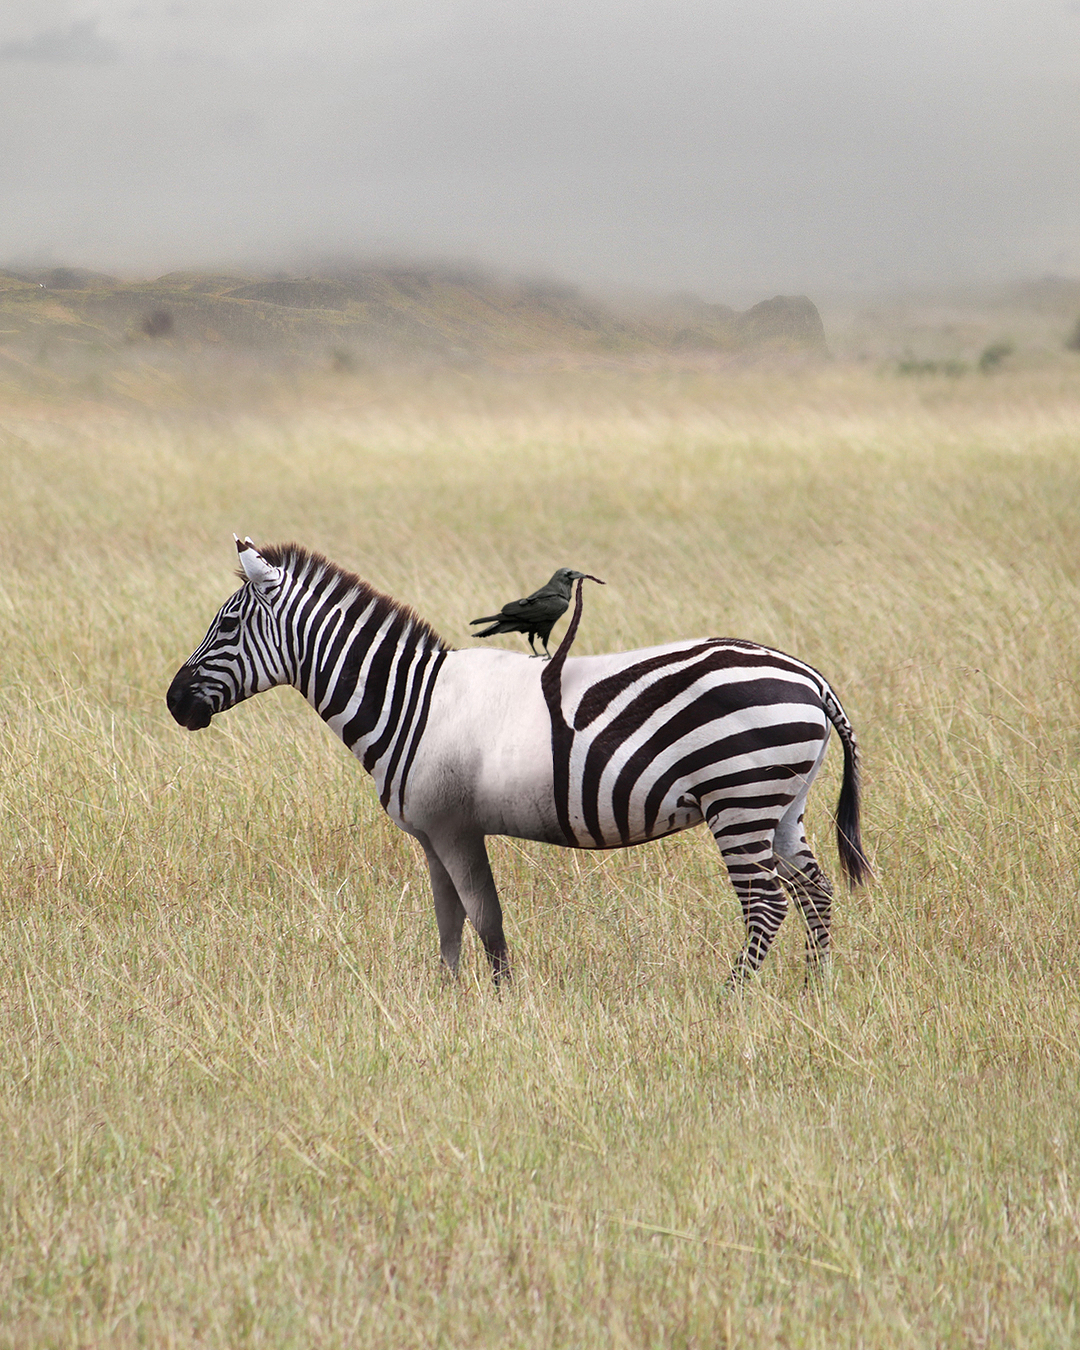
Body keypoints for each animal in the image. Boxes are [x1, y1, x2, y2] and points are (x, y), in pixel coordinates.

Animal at [166, 537, 869, 993]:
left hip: (738, 797)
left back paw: (733, 997)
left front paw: (504, 1005)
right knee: (815, 890)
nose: (173, 703)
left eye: (226, 627)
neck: (410, 702)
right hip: (781, 803)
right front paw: (445, 1002)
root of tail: (809, 677)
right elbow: (449, 923)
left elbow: (486, 920)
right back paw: (818, 986)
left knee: (766, 902)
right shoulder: (431, 835)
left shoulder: (455, 826)